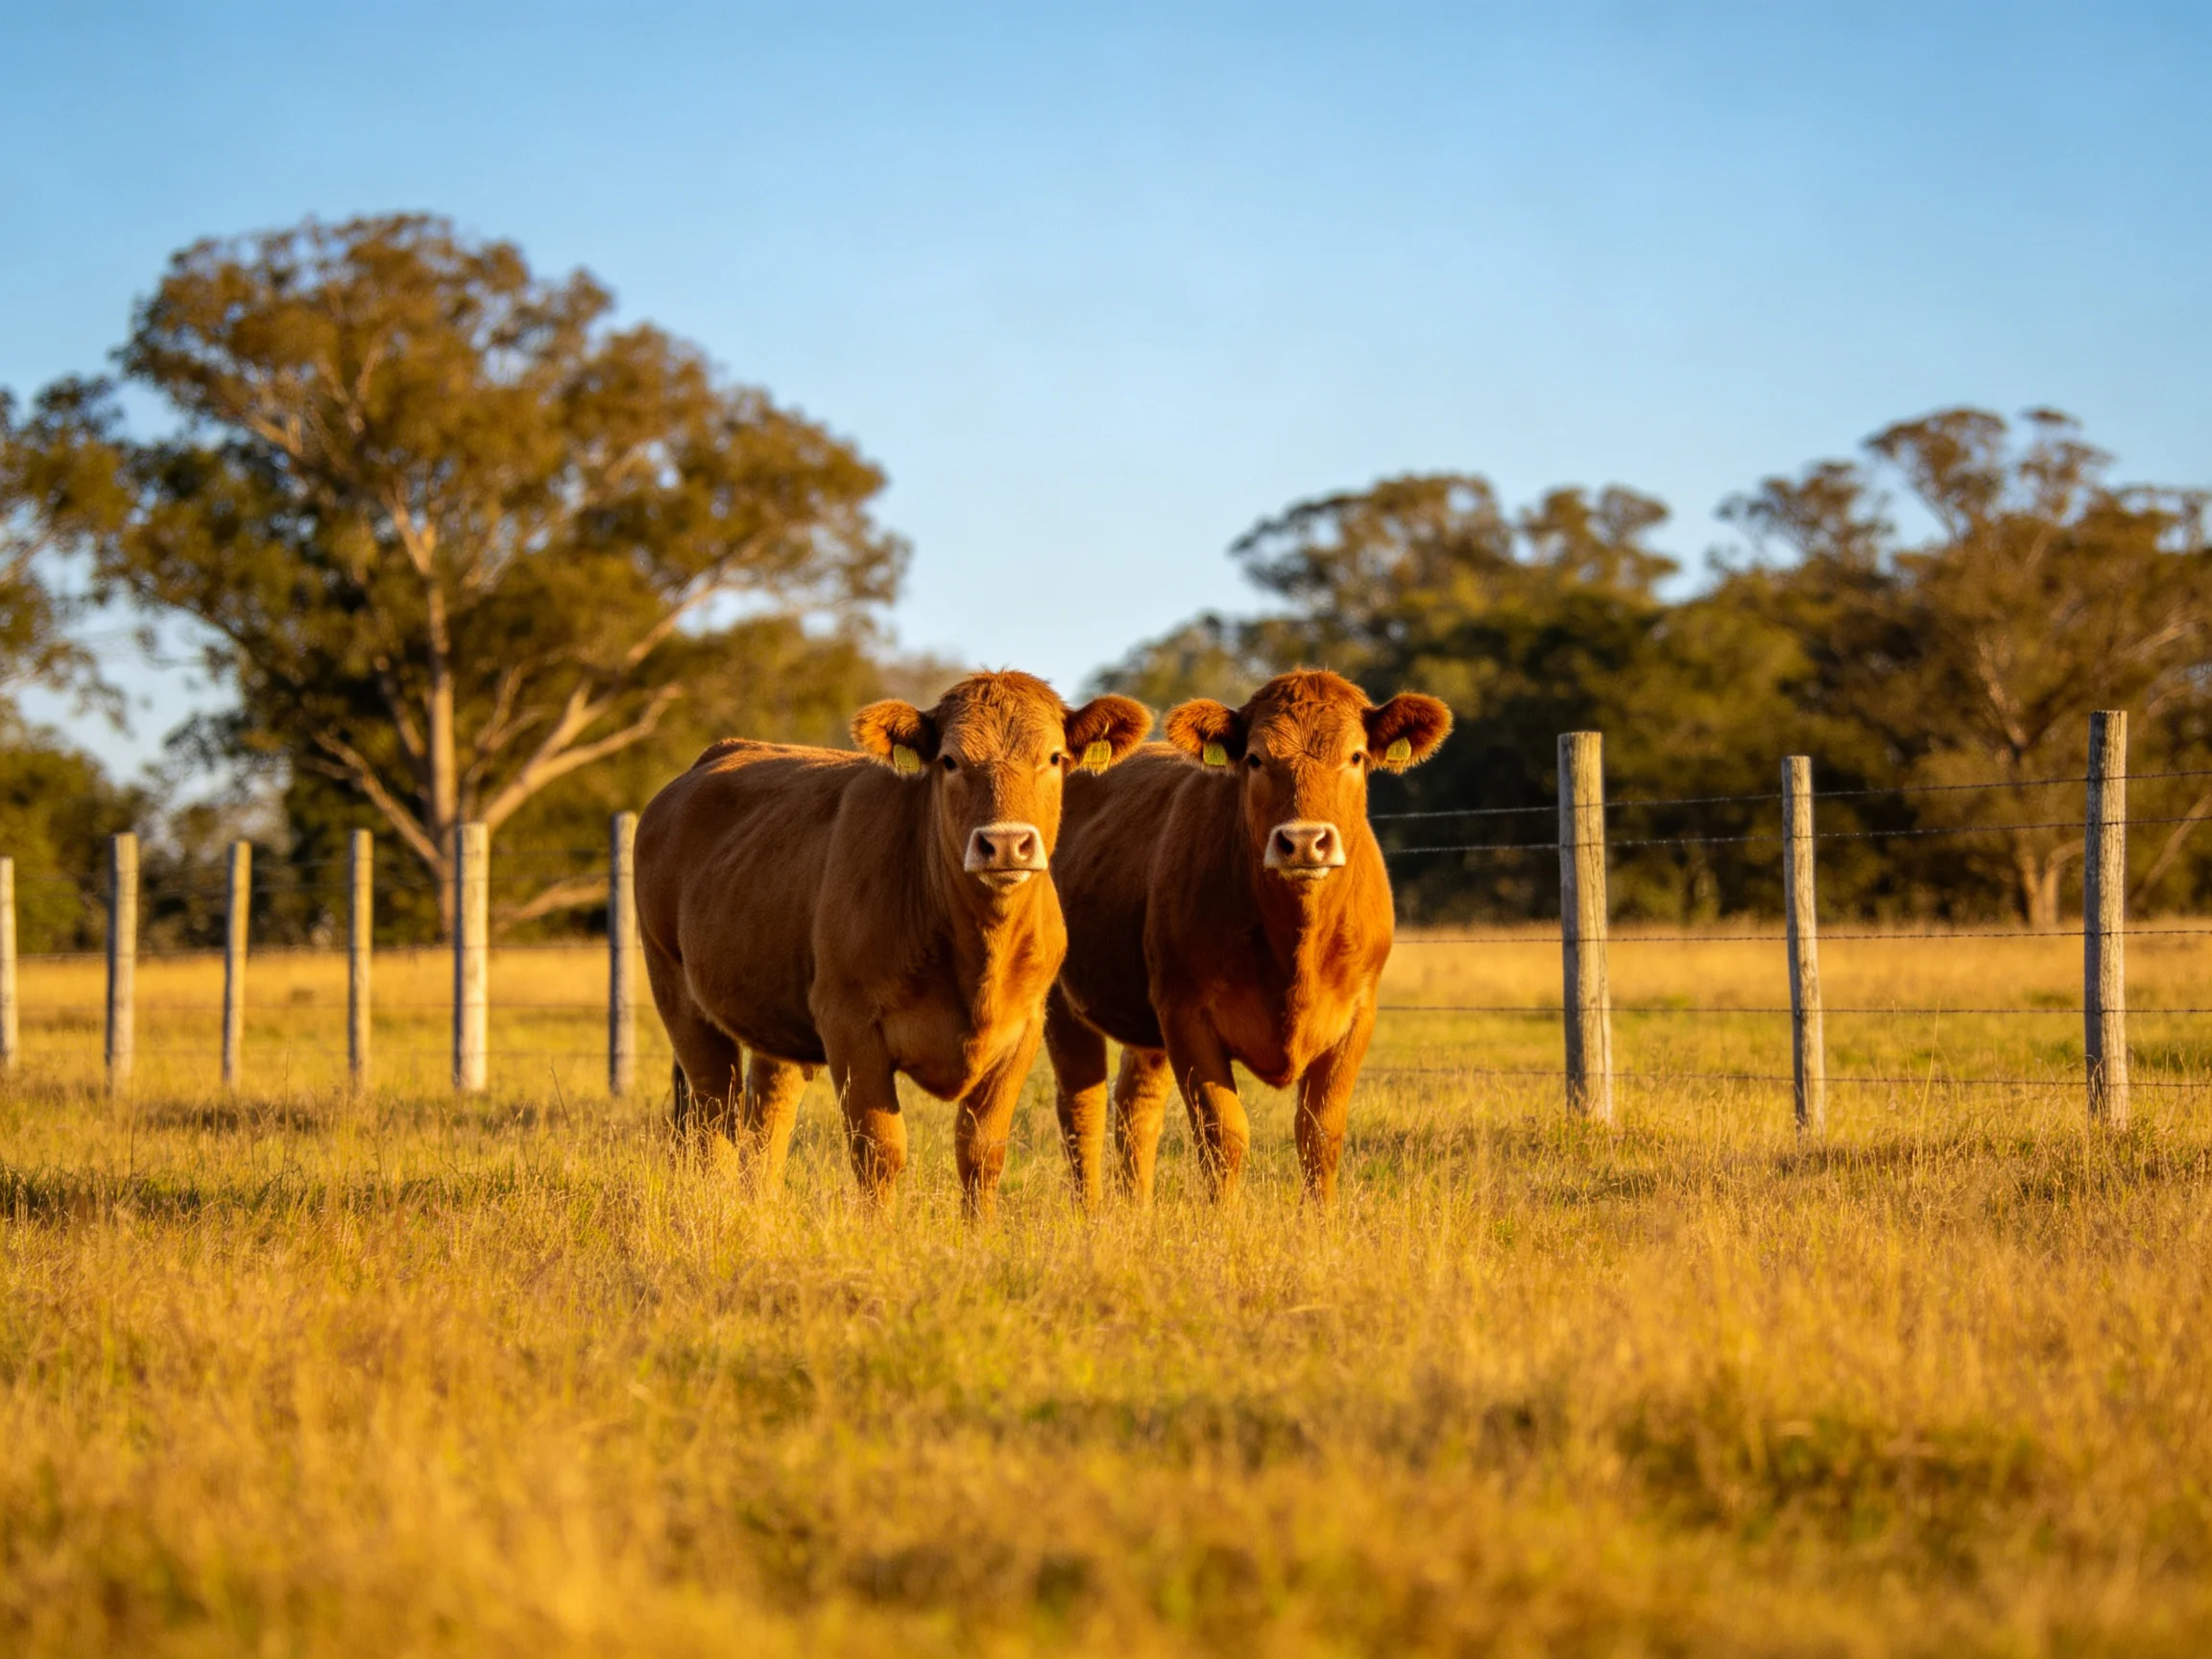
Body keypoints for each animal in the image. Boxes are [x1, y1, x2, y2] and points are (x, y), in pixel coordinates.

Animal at [635, 672, 1151, 1215]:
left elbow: (982, 1151)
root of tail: (720, 754)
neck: (976, 957)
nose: (1006, 844)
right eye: (950, 760)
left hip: (774, 1014)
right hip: (675, 990)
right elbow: (879, 1150)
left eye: (1053, 757)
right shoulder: (850, 1025)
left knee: (768, 1113)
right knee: (713, 1116)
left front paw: (979, 1229)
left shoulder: (1024, 1029)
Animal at [1042, 669, 1451, 1207]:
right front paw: (1223, 1222)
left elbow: (1320, 1134)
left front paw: (1321, 1221)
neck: (1295, 946)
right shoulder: (1187, 1015)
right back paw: (1090, 1212)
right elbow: (1223, 1133)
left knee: (1136, 1105)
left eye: (1356, 756)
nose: (1304, 841)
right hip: (1060, 998)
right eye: (1256, 758)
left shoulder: (1358, 1015)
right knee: (1082, 1106)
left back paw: (1137, 1210)